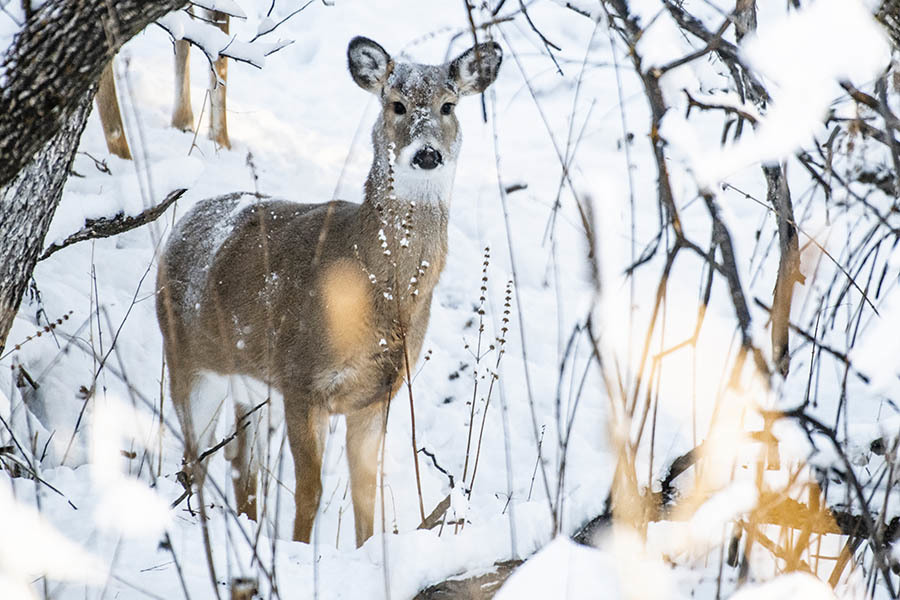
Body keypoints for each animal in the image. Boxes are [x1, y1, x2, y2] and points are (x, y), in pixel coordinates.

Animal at [155, 36, 502, 547]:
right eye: (396, 105)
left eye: (449, 105)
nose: (426, 154)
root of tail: (182, 225)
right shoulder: (301, 377)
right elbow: (310, 490)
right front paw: (300, 548)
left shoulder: (377, 393)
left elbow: (365, 490)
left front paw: (364, 549)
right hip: (188, 362)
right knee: (192, 462)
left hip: (249, 384)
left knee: (242, 468)